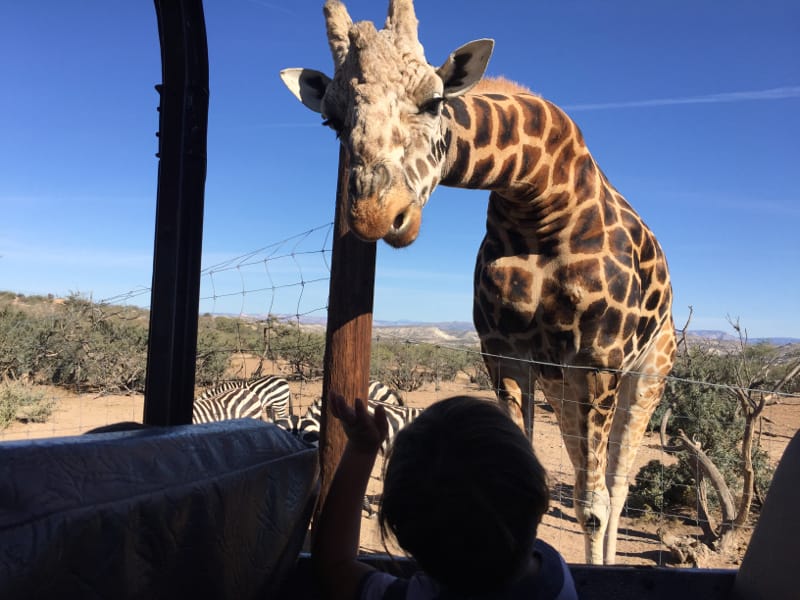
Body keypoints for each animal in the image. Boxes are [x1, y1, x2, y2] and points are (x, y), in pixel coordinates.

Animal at [281, 0, 676, 565]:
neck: (538, 199)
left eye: (433, 101)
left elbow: (594, 505)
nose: (377, 216)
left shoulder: (597, 361)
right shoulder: (505, 353)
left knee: (614, 488)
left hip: (644, 373)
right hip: (561, 385)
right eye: (332, 121)